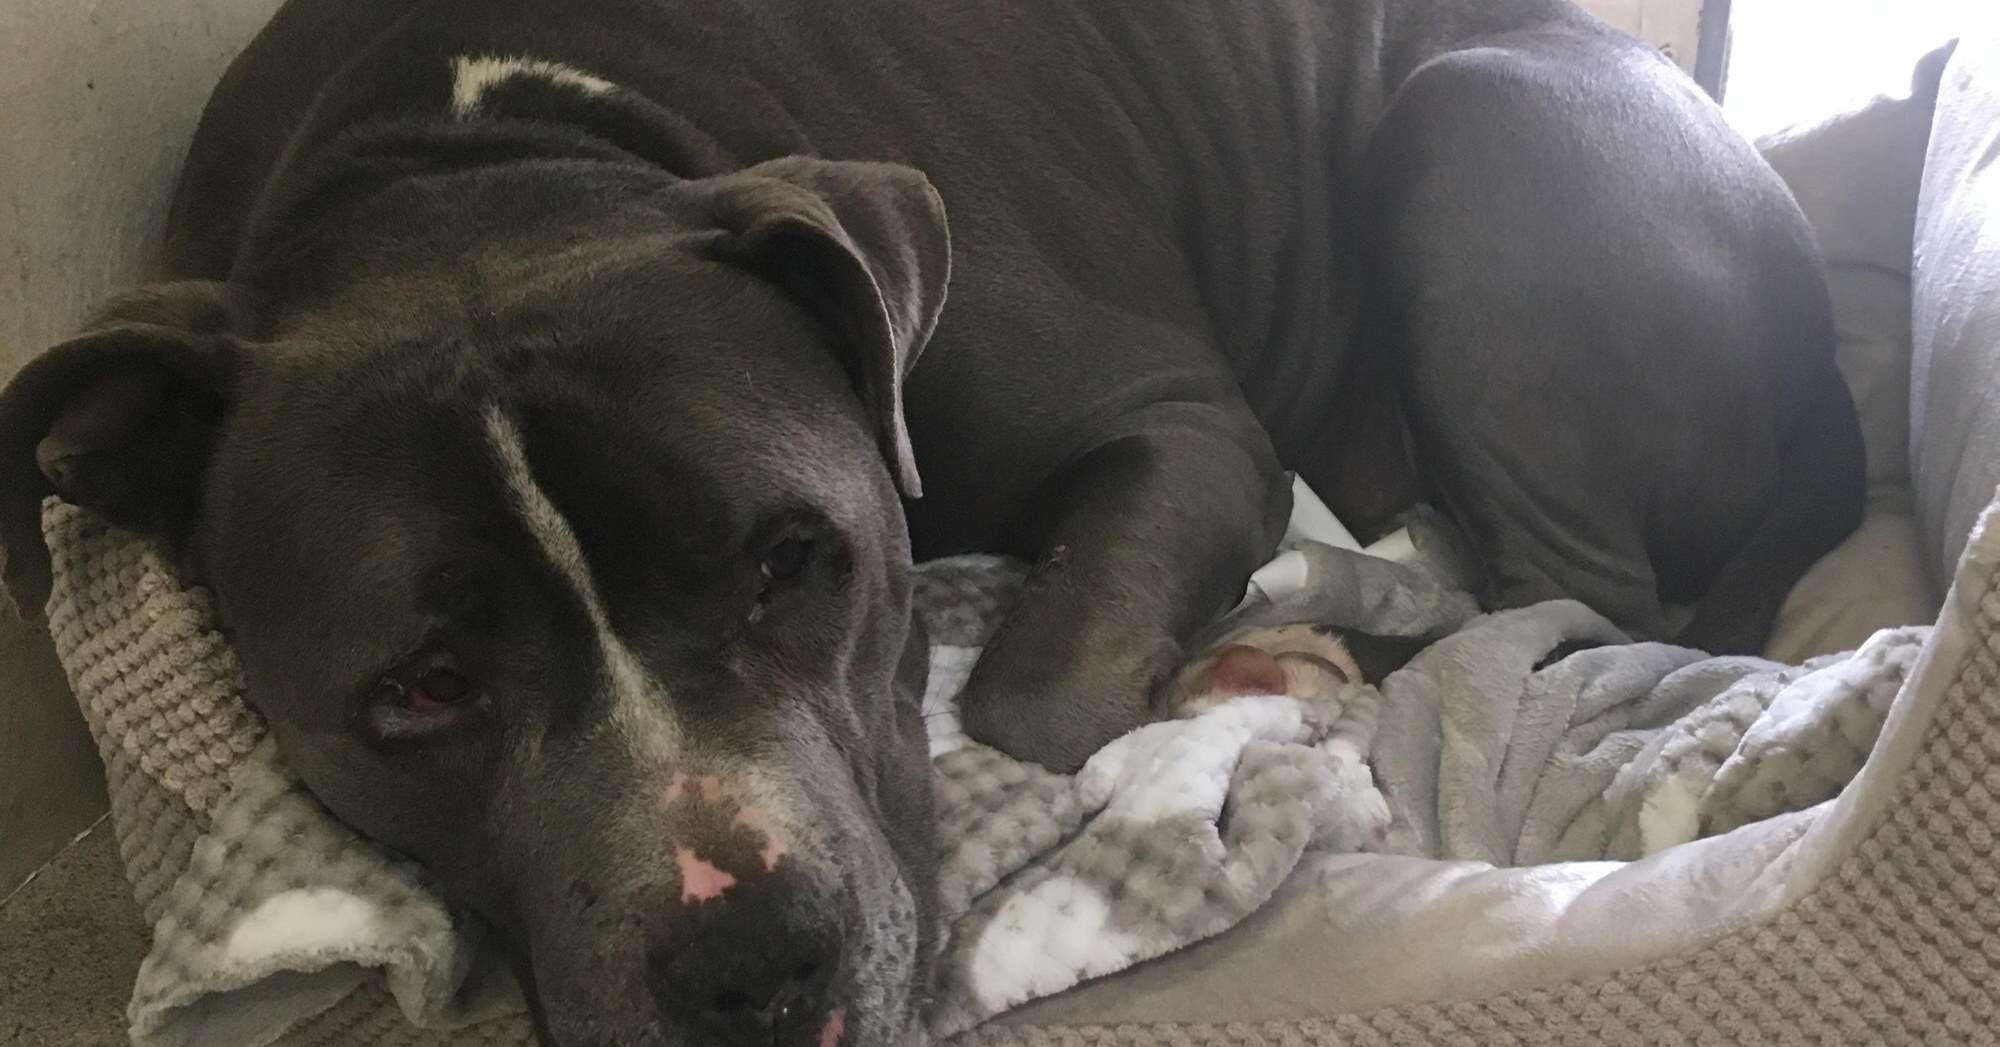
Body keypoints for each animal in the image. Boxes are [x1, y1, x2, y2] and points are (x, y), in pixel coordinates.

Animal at [0, 2, 1856, 1047]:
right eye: (420, 687)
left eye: (795, 560)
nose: (750, 960)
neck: (473, 165)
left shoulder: (1184, 424)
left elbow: (1033, 694)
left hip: (1475, 118)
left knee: (1567, 603)